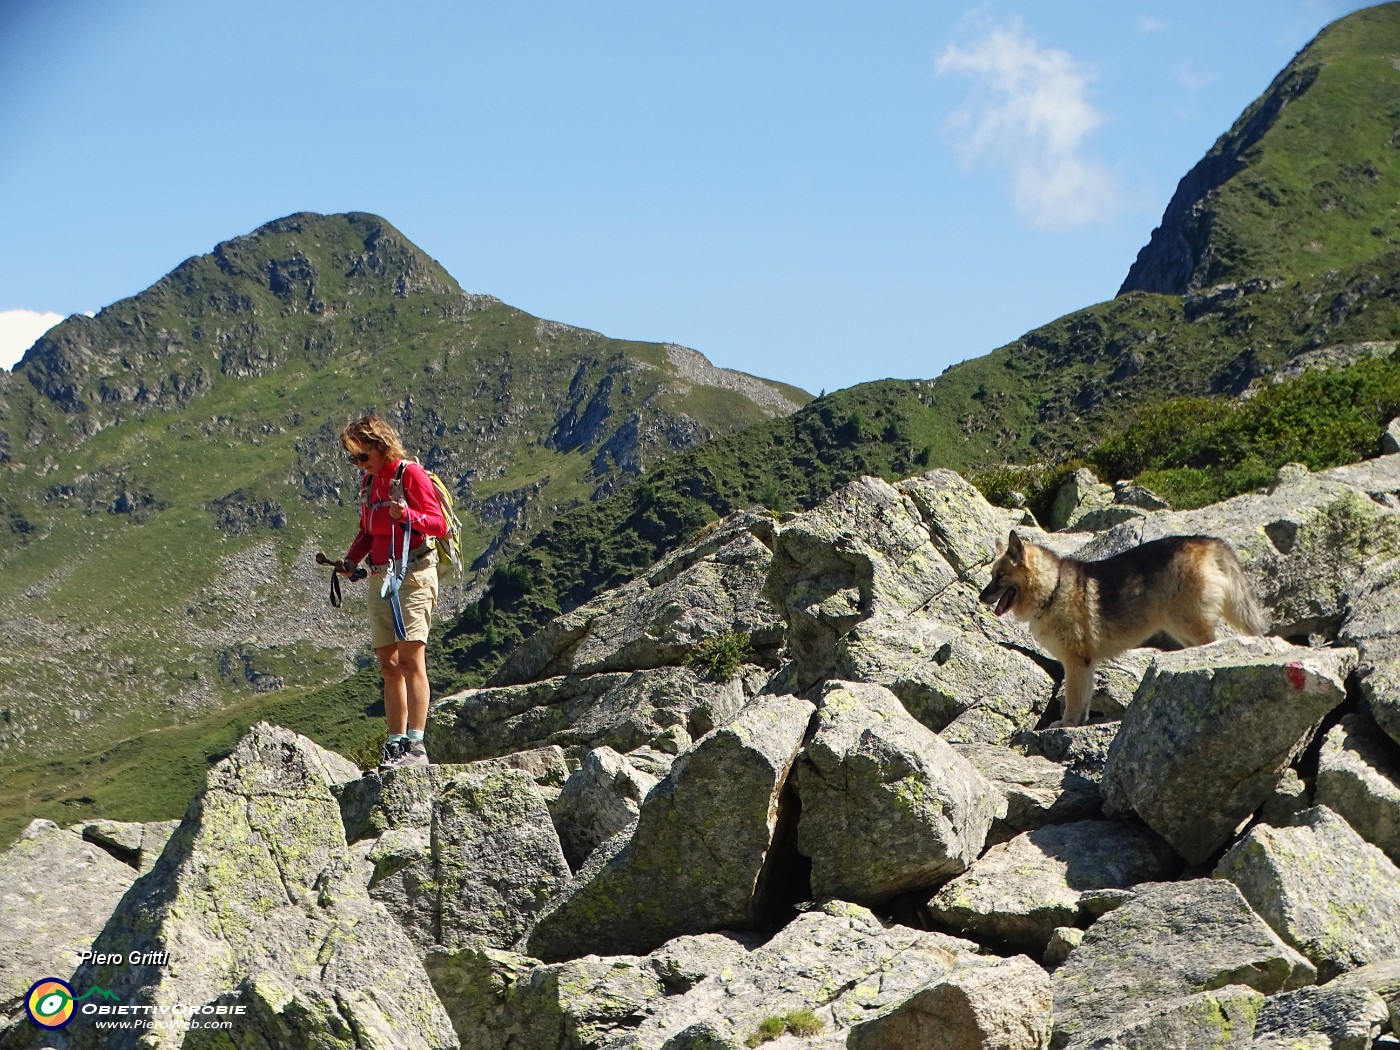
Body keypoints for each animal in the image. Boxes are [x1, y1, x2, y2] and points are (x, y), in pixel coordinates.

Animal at [980, 537, 1265, 728]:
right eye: (993, 574)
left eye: (1001, 575)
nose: (981, 597)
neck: (1053, 589)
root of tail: (1208, 541)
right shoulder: (1086, 664)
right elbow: (1084, 699)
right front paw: (1077, 725)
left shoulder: (1074, 662)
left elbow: (1073, 698)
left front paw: (1066, 724)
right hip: (1181, 631)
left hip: (1191, 626)